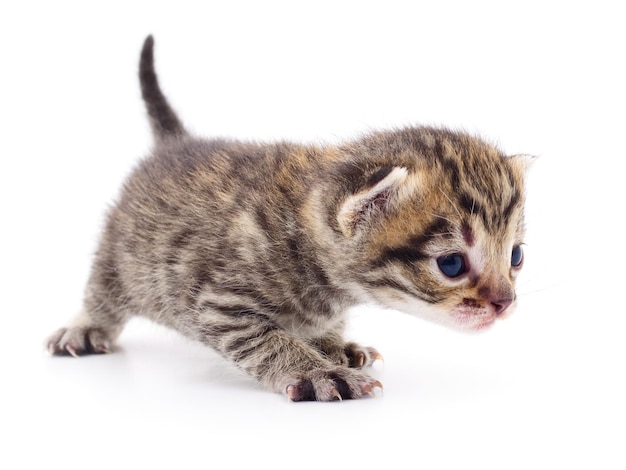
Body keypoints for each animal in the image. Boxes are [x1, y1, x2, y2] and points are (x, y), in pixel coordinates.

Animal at [46, 36, 528, 402]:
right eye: (451, 264)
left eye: (516, 257)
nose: (505, 303)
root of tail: (175, 144)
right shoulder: (221, 304)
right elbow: (267, 341)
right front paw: (316, 372)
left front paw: (334, 345)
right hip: (121, 254)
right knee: (103, 290)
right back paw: (85, 327)